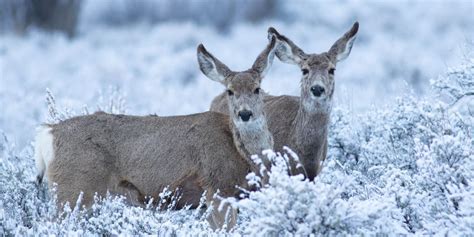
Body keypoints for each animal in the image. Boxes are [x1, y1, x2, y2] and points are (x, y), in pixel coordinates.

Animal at [35, 36, 278, 231]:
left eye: (257, 89)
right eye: (230, 91)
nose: (245, 113)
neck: (242, 155)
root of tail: (48, 133)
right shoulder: (218, 188)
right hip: (74, 187)